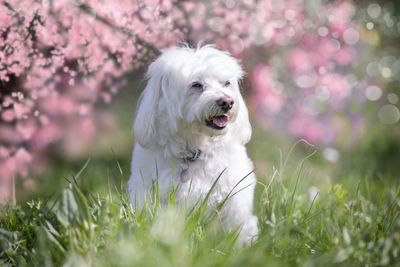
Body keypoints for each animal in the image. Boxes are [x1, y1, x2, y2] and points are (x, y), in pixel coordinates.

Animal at [129, 44, 260, 245]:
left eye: (226, 83)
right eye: (196, 85)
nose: (227, 102)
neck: (195, 150)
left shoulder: (235, 200)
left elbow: (235, 229)